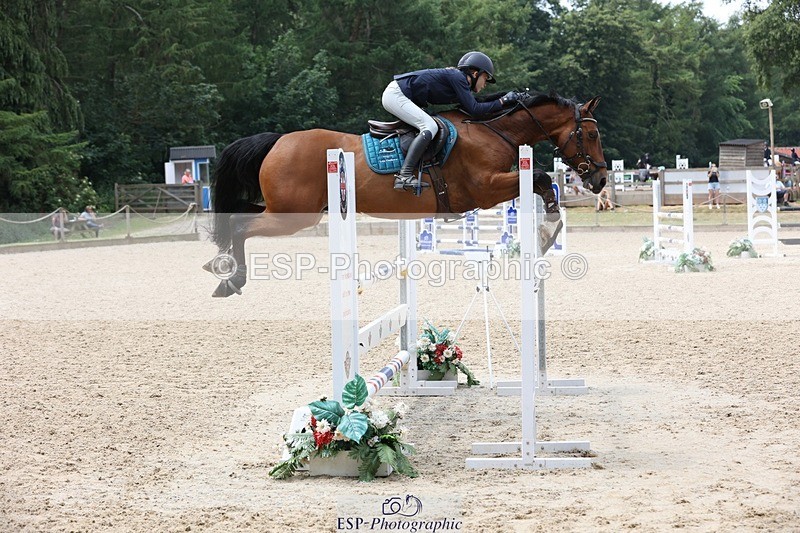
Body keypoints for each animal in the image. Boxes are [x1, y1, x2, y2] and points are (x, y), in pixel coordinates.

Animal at [207, 91, 607, 297]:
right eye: (591, 134)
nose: (601, 179)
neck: (495, 131)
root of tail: (277, 141)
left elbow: (541, 182)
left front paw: (547, 230)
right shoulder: (484, 189)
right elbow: (539, 177)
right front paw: (548, 228)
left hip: (289, 210)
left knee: (237, 215)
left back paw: (216, 264)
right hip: (294, 214)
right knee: (241, 225)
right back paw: (232, 279)